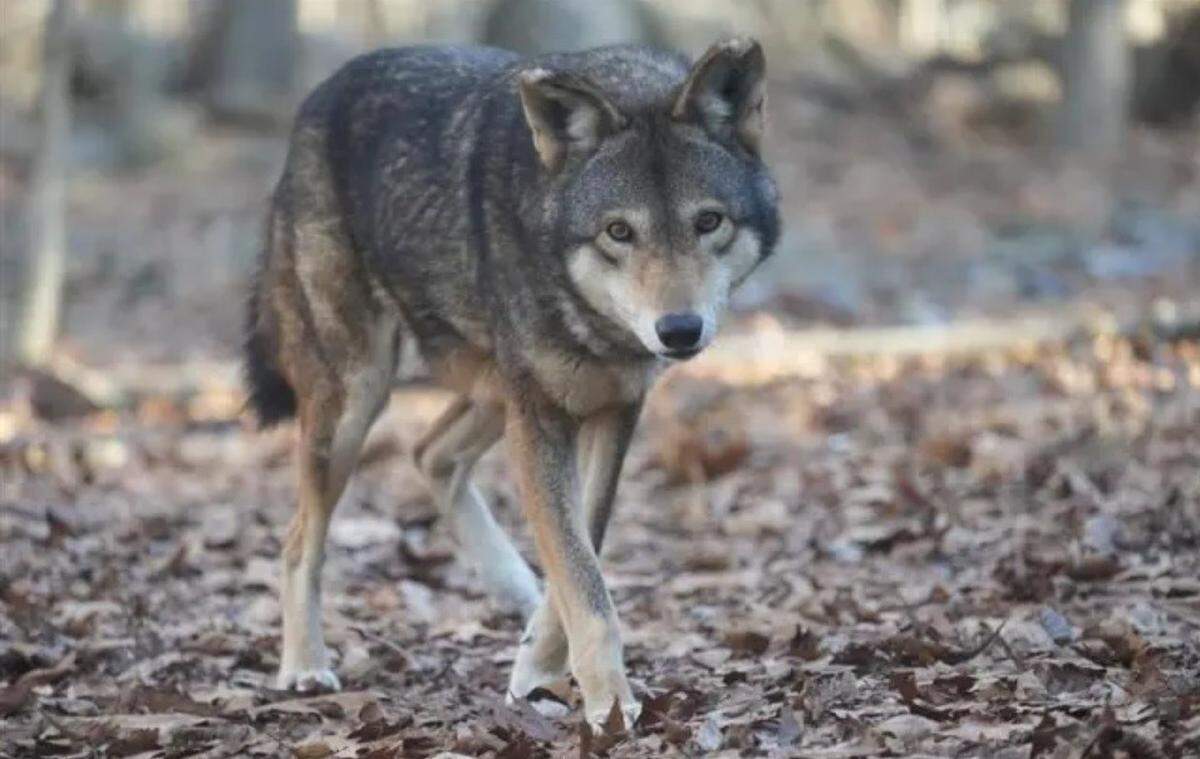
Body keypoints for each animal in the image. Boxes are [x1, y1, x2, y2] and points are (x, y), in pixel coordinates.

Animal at [244, 37, 779, 729]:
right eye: (619, 231)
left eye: (708, 221)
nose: (679, 330)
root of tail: (322, 92)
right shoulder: (543, 418)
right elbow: (582, 579)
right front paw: (610, 706)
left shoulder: (613, 410)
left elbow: (583, 546)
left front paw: (536, 669)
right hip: (359, 399)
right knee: (296, 543)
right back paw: (305, 667)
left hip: (495, 393)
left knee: (429, 453)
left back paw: (513, 586)